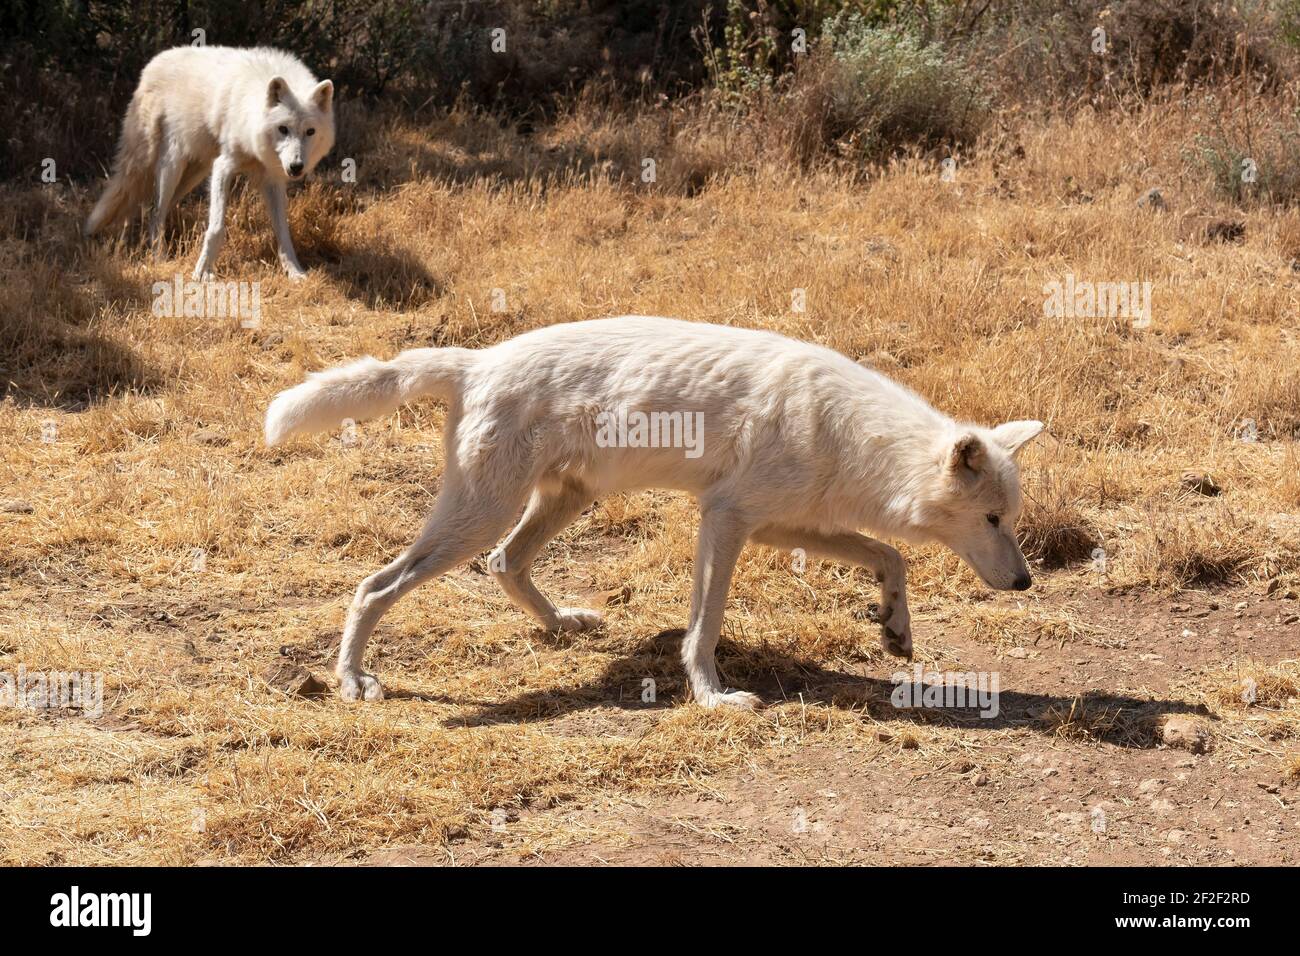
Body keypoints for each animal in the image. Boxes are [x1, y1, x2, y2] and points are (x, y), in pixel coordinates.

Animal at [82, 46, 335, 278]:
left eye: (310, 132)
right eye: (283, 129)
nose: (296, 167)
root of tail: (152, 63)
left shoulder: (272, 180)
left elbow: (283, 232)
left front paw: (295, 273)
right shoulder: (223, 167)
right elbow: (216, 228)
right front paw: (202, 272)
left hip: (194, 174)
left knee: (147, 208)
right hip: (169, 168)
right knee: (153, 212)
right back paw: (159, 258)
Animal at [266, 316, 1045, 712]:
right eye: (993, 521)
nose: (1025, 583)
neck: (850, 433)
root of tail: (476, 360)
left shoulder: (779, 523)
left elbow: (891, 555)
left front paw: (895, 630)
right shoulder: (726, 519)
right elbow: (705, 626)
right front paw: (713, 696)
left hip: (556, 504)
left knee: (506, 564)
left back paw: (564, 625)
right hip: (477, 517)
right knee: (374, 586)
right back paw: (352, 681)